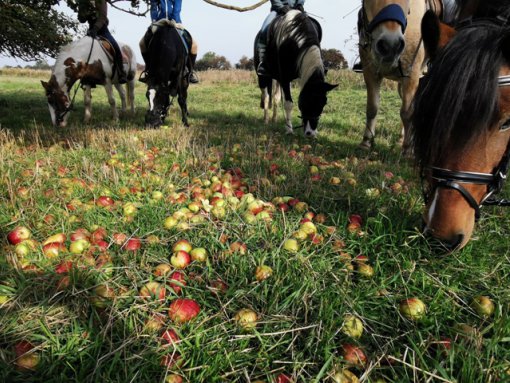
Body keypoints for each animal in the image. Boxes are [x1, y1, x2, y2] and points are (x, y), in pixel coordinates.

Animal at [255, 10, 338, 138]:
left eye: (323, 103)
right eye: (306, 101)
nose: (310, 133)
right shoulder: (285, 78)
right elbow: (288, 103)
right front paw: (289, 130)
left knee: (276, 98)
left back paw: (274, 119)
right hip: (263, 77)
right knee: (266, 96)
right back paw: (266, 120)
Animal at [356, 0, 444, 153]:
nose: (390, 45)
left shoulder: (411, 76)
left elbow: (407, 112)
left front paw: (408, 149)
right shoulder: (370, 72)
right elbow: (372, 108)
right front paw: (366, 141)